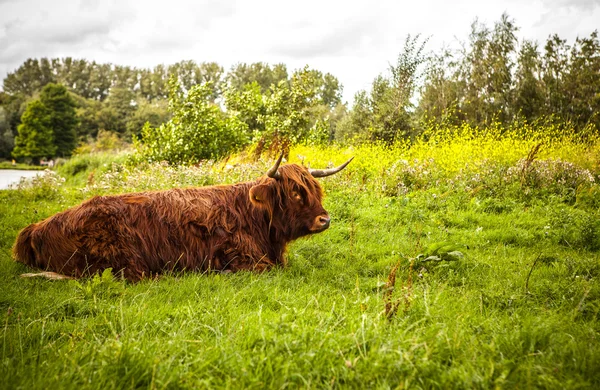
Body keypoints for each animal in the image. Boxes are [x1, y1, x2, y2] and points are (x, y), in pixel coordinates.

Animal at [12, 155, 352, 280]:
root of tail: (35, 228)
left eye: (315, 190)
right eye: (295, 193)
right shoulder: (247, 260)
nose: (325, 220)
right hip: (122, 259)